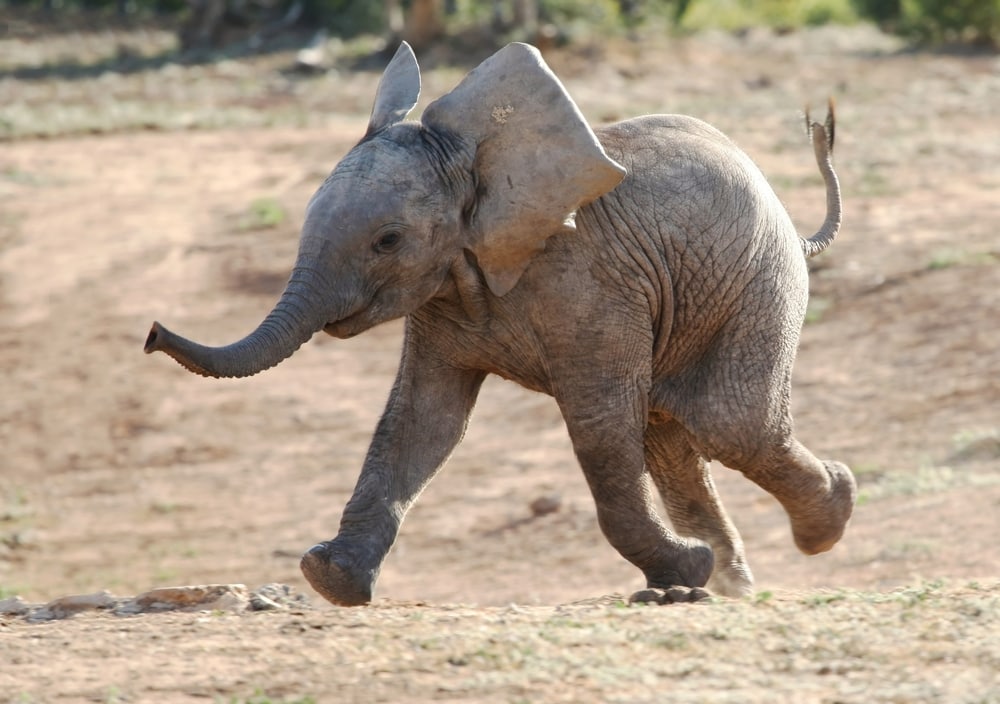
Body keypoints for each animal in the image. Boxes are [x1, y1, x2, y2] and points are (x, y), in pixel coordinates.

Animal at [145, 41, 857, 605]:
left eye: (387, 241)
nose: (151, 334)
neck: (476, 166)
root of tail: (794, 226)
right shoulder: (442, 296)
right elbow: (423, 419)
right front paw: (330, 579)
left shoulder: (589, 286)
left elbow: (599, 425)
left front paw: (687, 568)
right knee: (673, 435)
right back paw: (728, 584)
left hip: (758, 284)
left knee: (728, 424)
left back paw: (825, 518)